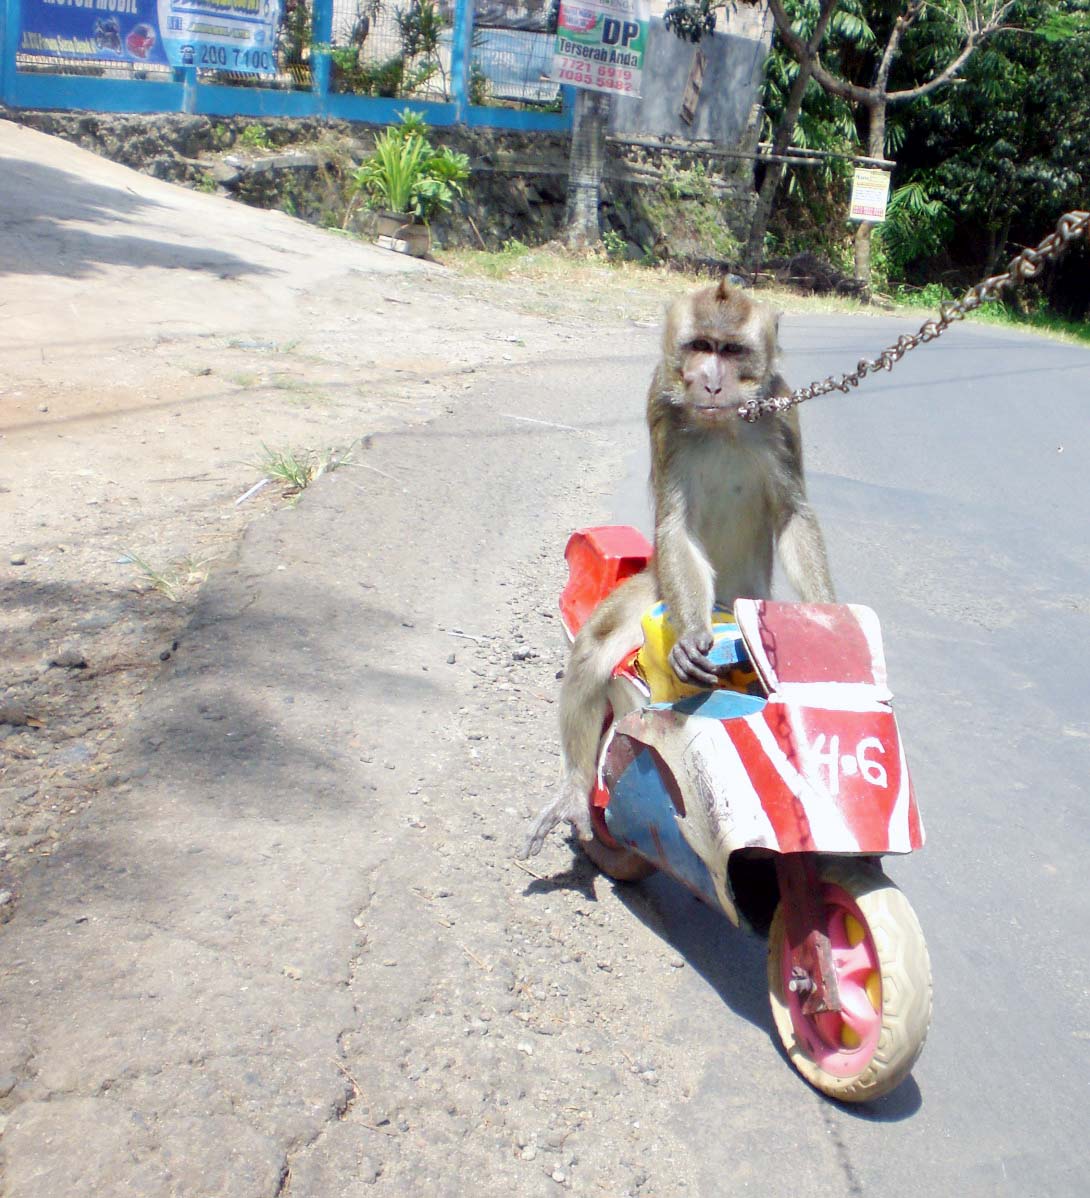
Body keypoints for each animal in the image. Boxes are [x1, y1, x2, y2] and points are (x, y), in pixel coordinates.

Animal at [519, 275, 838, 857]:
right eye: (700, 347)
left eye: (731, 351)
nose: (709, 385)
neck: (727, 424)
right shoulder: (661, 408)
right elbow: (675, 522)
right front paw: (690, 638)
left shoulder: (782, 410)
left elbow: (792, 514)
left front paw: (826, 619)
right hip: (657, 588)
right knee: (595, 646)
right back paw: (576, 789)